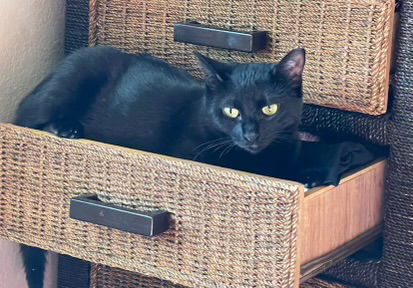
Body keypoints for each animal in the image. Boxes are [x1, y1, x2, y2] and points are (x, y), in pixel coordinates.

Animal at [14, 45, 304, 288]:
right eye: (231, 111)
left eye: (270, 109)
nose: (250, 135)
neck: (255, 160)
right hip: (73, 78)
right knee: (32, 118)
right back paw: (65, 128)